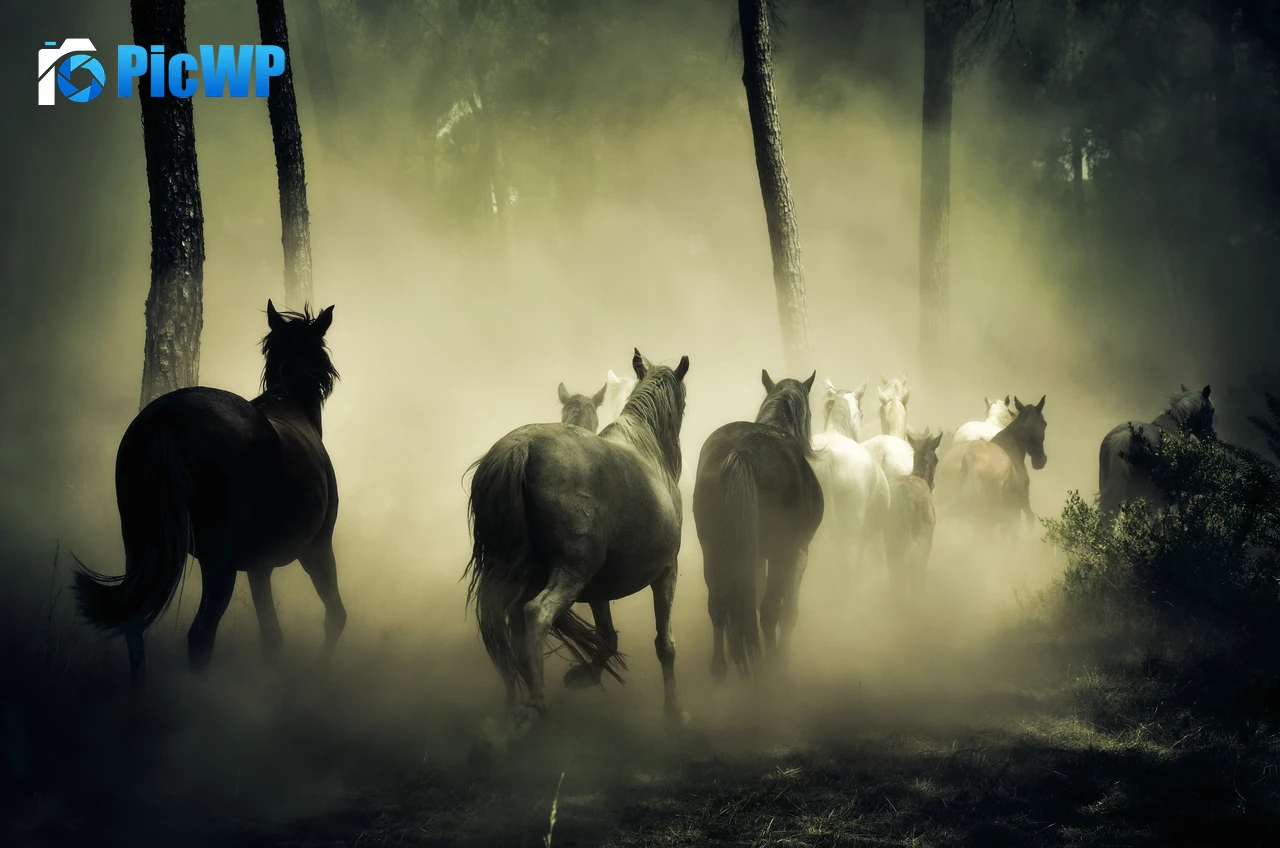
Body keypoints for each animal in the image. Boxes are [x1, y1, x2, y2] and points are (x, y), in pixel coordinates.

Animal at [73, 302, 346, 689]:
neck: (290, 402)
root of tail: (169, 415)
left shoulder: (259, 568)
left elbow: (272, 638)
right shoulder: (317, 549)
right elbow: (335, 616)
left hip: (139, 546)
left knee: (134, 625)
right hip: (220, 564)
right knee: (201, 635)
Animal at [465, 349, 689, 722]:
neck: (646, 448)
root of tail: (521, 446)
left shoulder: (600, 587)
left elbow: (607, 637)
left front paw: (582, 676)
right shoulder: (666, 572)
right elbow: (665, 645)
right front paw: (674, 712)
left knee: (500, 624)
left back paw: (514, 703)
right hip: (572, 573)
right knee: (534, 613)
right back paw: (537, 701)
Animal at [693, 370, 824, 679]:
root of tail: (742, 451)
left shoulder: (753, 557)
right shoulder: (797, 553)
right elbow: (787, 611)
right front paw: (783, 656)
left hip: (713, 550)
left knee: (718, 606)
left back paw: (719, 668)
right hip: (779, 553)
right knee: (769, 612)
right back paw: (771, 667)